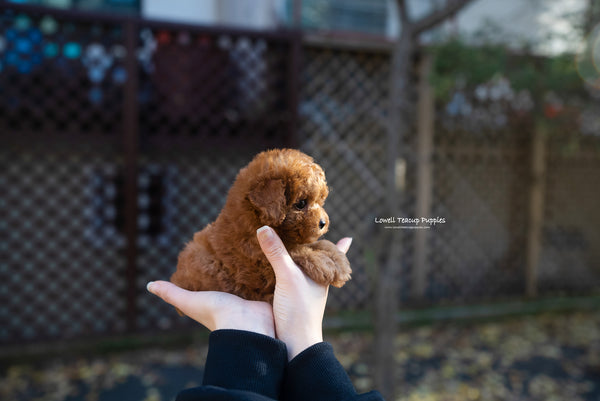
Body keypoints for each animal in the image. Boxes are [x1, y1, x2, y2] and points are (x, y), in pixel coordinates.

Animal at [170, 148, 352, 304]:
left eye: (320, 201)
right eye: (301, 203)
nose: (323, 223)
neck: (254, 222)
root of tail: (176, 277)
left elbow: (319, 243)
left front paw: (338, 259)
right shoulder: (259, 261)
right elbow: (296, 251)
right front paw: (326, 263)